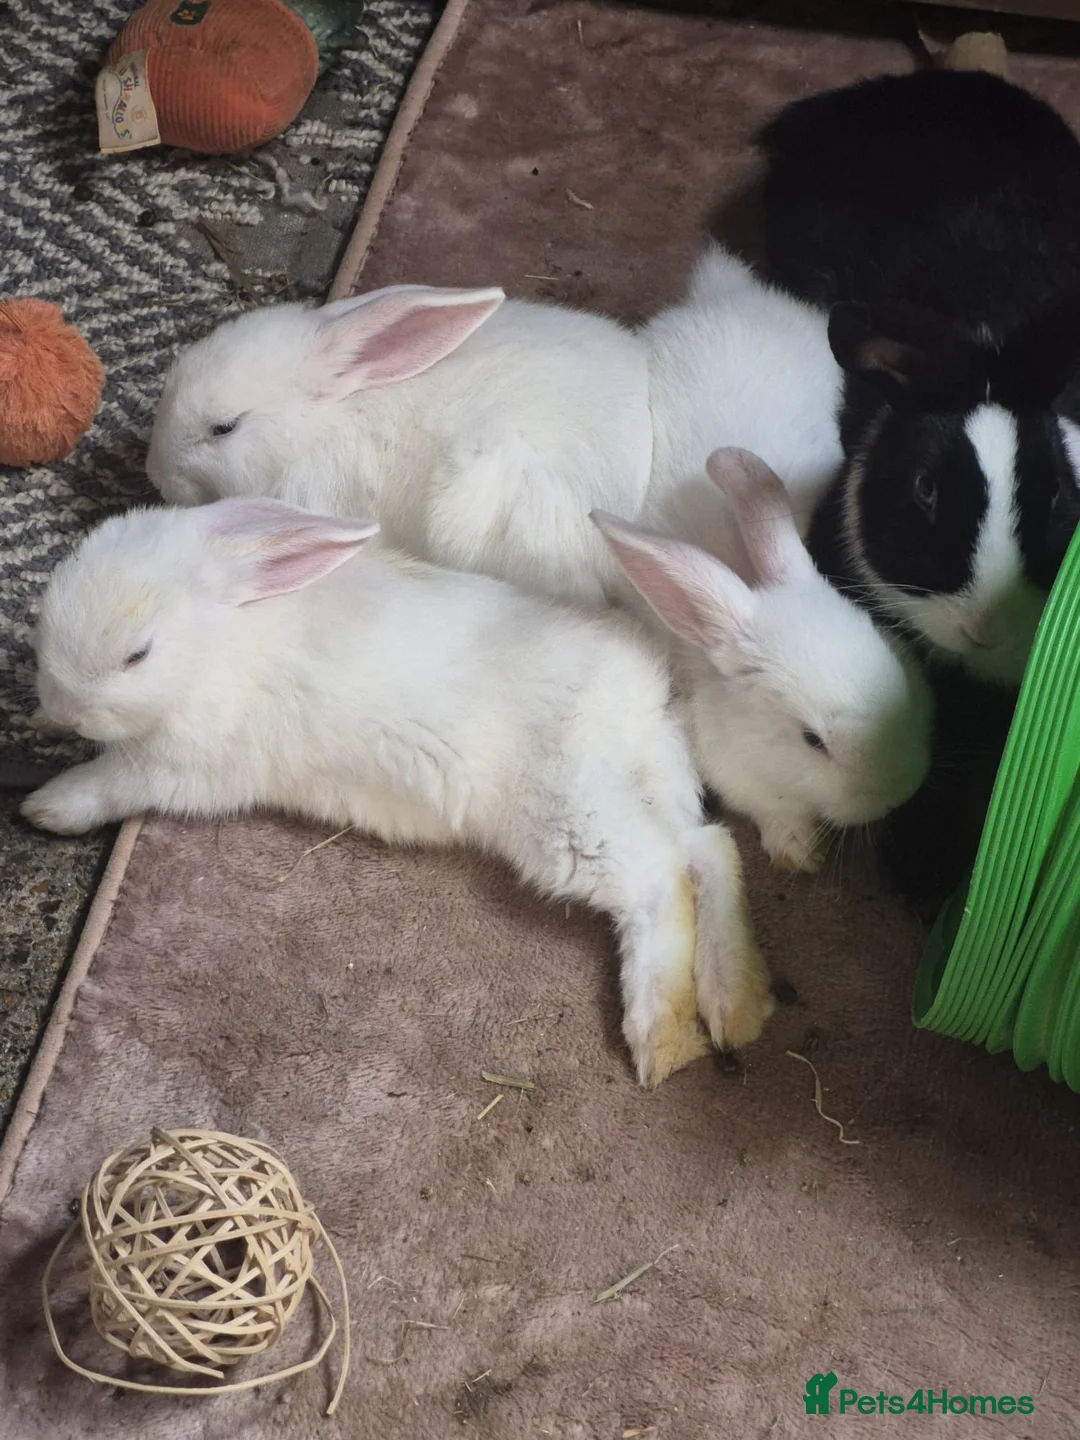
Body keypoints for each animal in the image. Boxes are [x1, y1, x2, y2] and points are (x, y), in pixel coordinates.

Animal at [19, 497, 775, 1088]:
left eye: (137, 654)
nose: (59, 708)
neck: (224, 639)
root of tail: (644, 691)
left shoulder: (181, 768)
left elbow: (111, 782)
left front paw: (47, 806)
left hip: (571, 814)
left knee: (658, 877)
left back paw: (662, 1038)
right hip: (637, 786)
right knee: (707, 847)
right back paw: (734, 1003)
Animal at [595, 449, 932, 874]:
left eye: (896, 665)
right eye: (812, 740)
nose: (903, 791)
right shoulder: (743, 781)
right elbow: (777, 814)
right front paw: (799, 852)